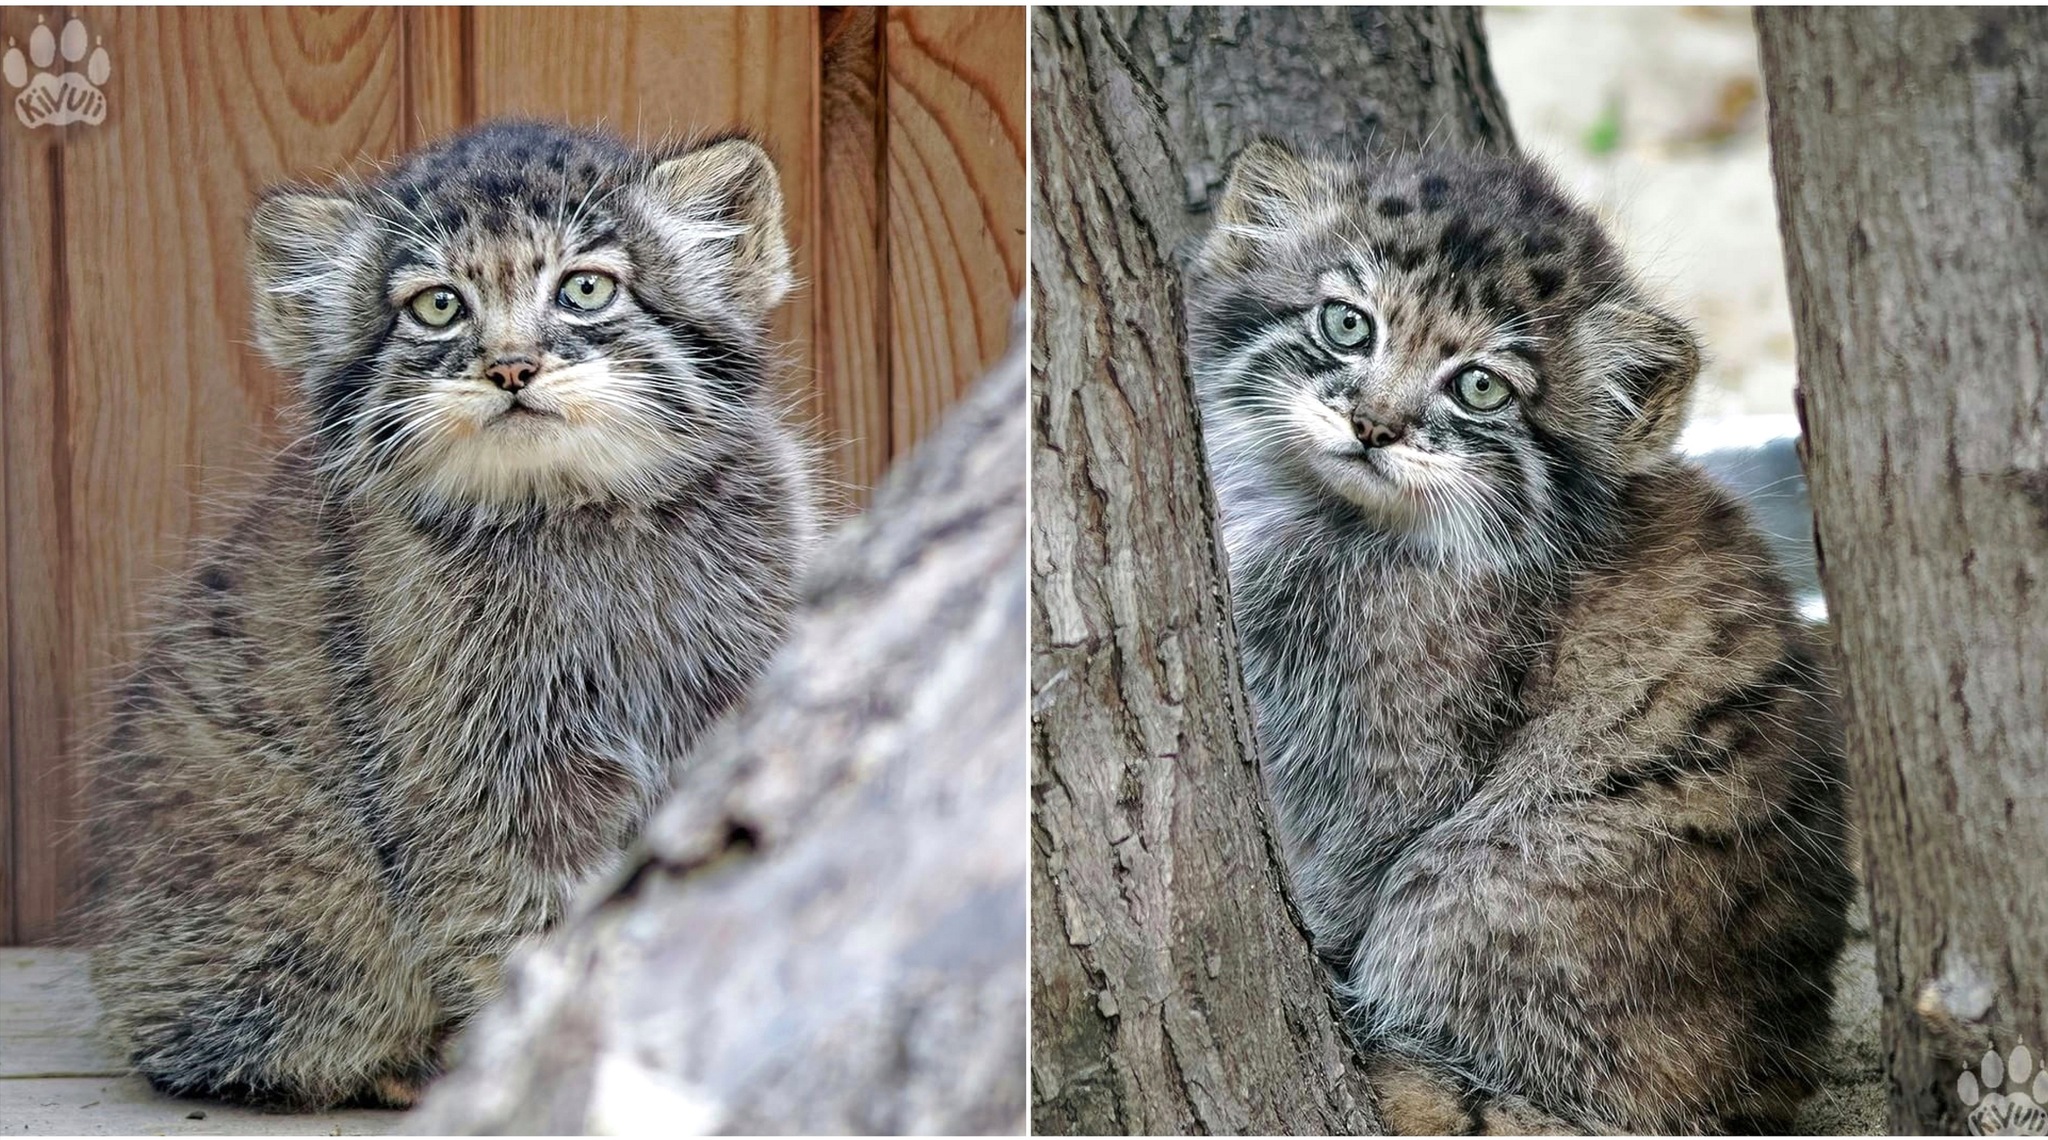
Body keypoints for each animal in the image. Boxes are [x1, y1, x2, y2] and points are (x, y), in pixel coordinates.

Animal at [86, 120, 815, 1105]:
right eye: (438, 306)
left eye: (585, 288)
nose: (510, 367)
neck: (572, 514)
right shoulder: (476, 773)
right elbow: (517, 912)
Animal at [1187, 140, 1859, 1129]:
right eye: (1347, 324)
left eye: (1479, 387)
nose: (1374, 426)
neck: (1336, 521)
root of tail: (1768, 1085)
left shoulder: (1389, 779)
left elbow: (1337, 881)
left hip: (1479, 879)